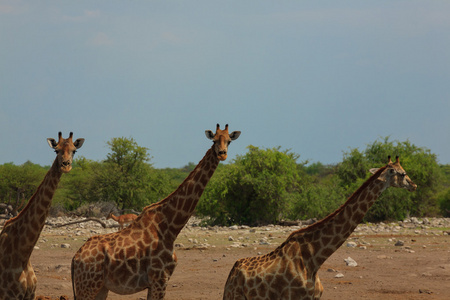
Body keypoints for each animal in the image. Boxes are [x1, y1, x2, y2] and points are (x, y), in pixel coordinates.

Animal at [0, 132, 84, 298]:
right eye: (56, 150)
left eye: (74, 151)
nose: (65, 165)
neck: (23, 254)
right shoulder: (8, 295)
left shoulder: (30, 295)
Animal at [71, 123, 239, 298]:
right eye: (214, 140)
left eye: (229, 141)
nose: (222, 154)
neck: (170, 227)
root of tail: (75, 258)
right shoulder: (159, 278)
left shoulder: (156, 282)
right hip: (87, 286)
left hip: (101, 287)